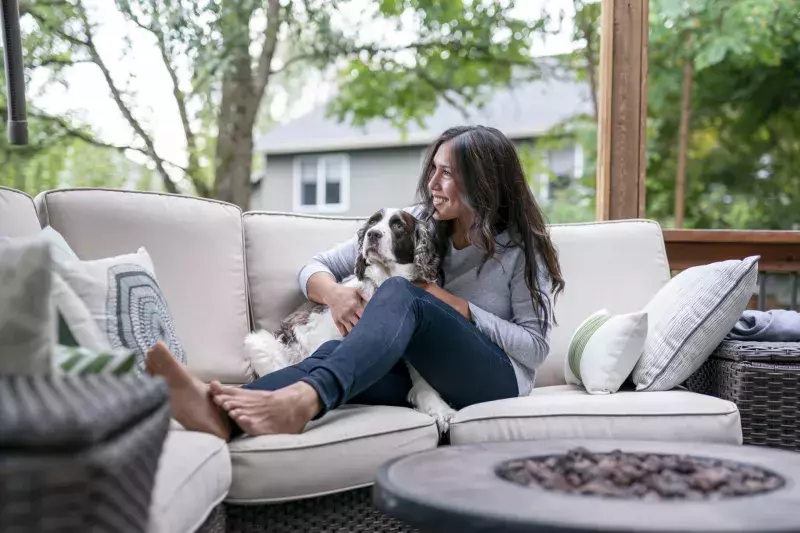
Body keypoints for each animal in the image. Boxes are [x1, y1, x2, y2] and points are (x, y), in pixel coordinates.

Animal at [244, 208, 456, 432]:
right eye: (372, 222)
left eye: (398, 225)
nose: (373, 234)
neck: (384, 280)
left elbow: (423, 382)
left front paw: (441, 410)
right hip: (259, 341)